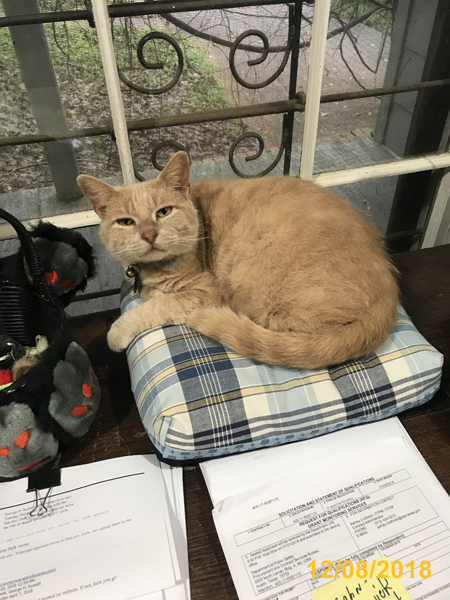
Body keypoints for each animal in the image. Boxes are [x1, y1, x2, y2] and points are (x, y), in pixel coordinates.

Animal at [77, 151, 398, 370]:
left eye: (164, 212)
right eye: (126, 222)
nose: (148, 234)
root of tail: (389, 290)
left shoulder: (205, 292)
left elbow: (155, 307)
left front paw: (119, 330)